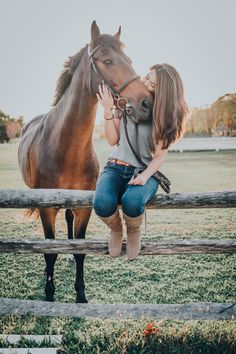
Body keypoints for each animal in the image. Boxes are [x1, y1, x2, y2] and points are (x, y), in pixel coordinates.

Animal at [17, 20, 152, 302]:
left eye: (129, 59)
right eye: (108, 61)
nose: (146, 102)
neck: (66, 147)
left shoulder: (85, 207)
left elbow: (80, 250)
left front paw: (80, 295)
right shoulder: (46, 208)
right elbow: (49, 252)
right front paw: (49, 294)